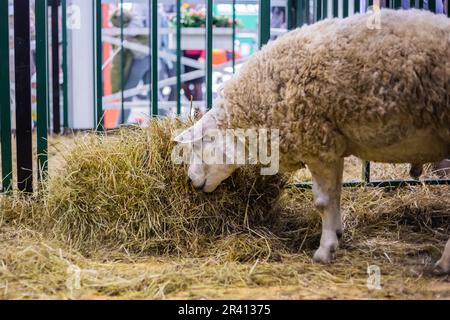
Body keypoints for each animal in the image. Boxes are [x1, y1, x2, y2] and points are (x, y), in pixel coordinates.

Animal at [174, 9, 450, 276]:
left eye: (198, 146)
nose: (190, 180)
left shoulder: (317, 143)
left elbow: (323, 202)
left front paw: (325, 250)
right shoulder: (333, 146)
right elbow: (336, 196)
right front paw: (337, 235)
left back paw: (442, 264)